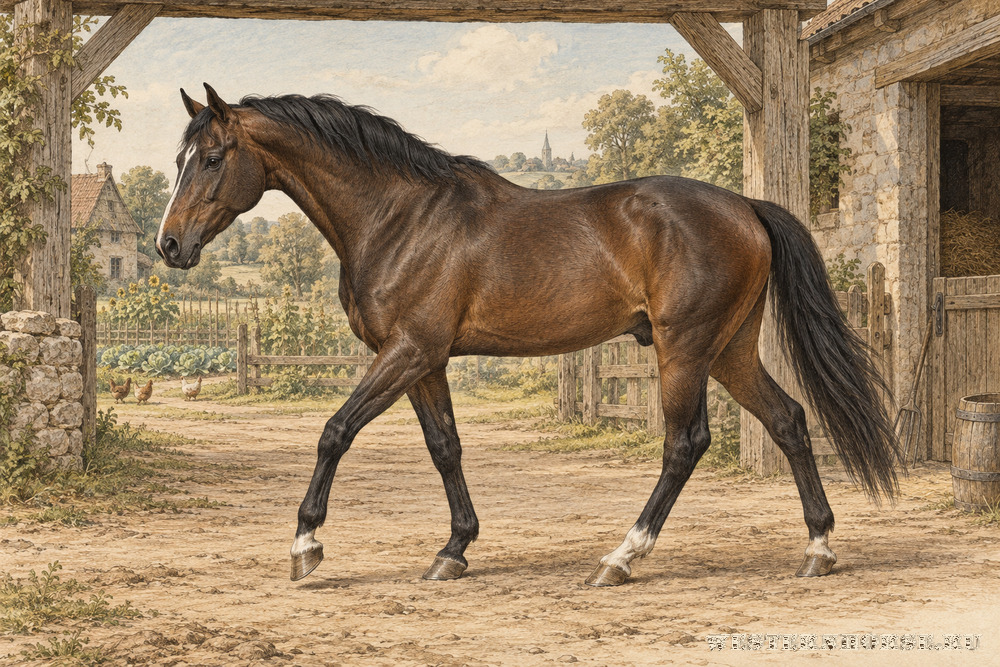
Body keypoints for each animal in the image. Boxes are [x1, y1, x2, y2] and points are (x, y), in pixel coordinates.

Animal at [157, 83, 898, 586]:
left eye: (213, 157)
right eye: (178, 159)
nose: (169, 245)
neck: (400, 217)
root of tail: (746, 205)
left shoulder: (406, 352)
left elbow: (335, 430)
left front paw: (305, 546)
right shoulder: (425, 362)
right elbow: (445, 448)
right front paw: (454, 549)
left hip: (685, 350)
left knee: (685, 443)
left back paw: (621, 557)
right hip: (731, 351)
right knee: (789, 419)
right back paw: (817, 548)